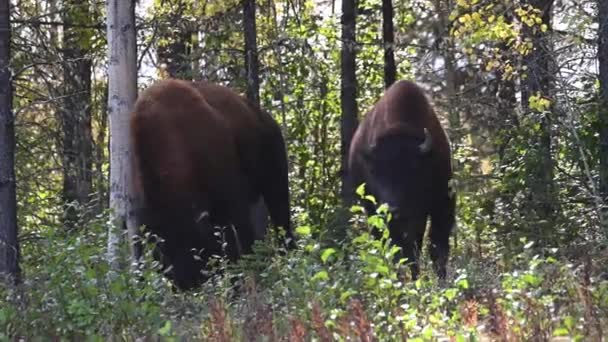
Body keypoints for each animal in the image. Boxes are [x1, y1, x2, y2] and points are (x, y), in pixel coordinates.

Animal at [346, 80, 456, 280]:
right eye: (374, 171)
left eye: (411, 169)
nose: (392, 208)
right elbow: (403, 250)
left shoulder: (441, 202)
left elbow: (437, 246)